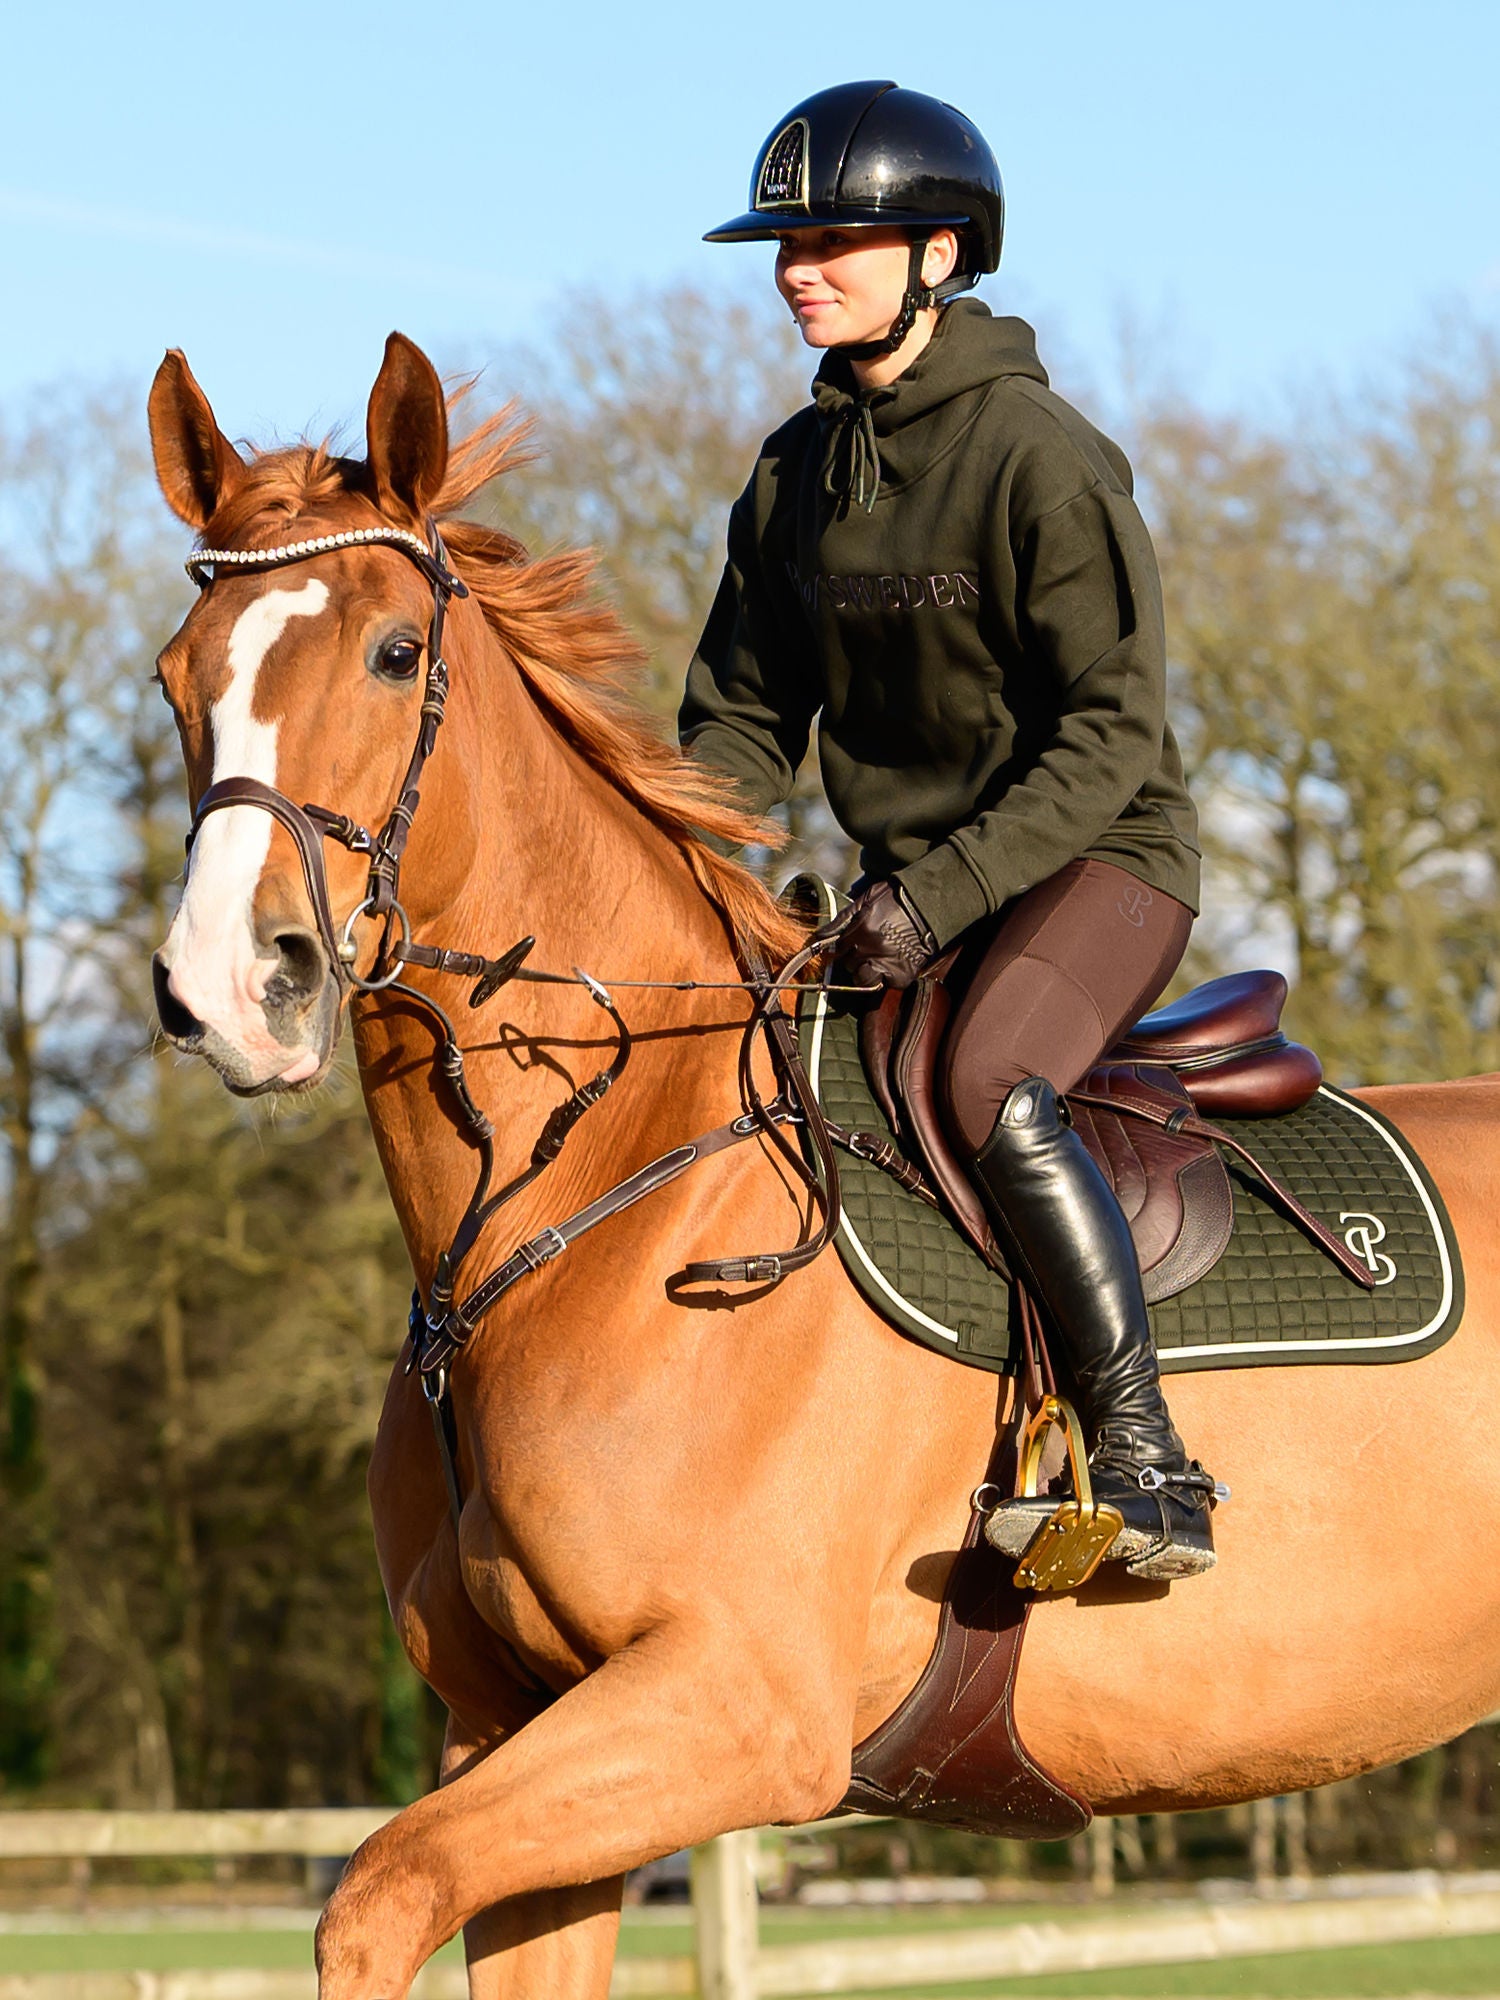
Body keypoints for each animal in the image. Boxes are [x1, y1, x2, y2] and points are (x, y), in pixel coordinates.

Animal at [144, 336, 1500, 1992]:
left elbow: (374, 1893)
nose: (232, 987)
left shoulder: (732, 1709)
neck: (594, 1203)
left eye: (398, 654)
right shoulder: (508, 1729)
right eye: (178, 675)